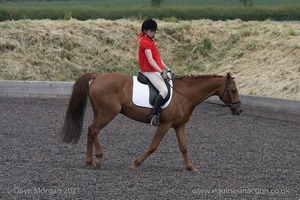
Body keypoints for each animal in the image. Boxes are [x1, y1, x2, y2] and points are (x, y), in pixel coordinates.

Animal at [60, 72, 241, 172]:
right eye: (233, 90)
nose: (239, 110)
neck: (184, 95)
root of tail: (97, 77)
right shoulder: (165, 124)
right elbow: (154, 146)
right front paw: (135, 163)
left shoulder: (179, 125)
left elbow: (183, 147)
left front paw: (190, 167)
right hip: (108, 113)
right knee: (93, 130)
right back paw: (97, 159)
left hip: (100, 112)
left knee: (91, 131)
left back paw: (90, 161)